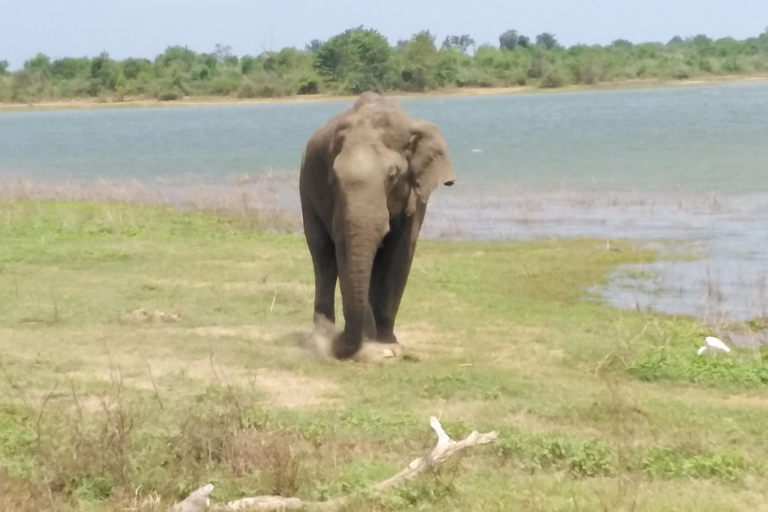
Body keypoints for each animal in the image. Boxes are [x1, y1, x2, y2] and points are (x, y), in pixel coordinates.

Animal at [298, 91, 456, 360]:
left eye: (392, 176)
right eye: (334, 177)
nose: (338, 341)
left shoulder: (416, 195)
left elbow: (400, 254)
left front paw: (388, 342)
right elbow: (342, 250)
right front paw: (373, 343)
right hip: (304, 189)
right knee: (322, 256)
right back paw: (321, 336)